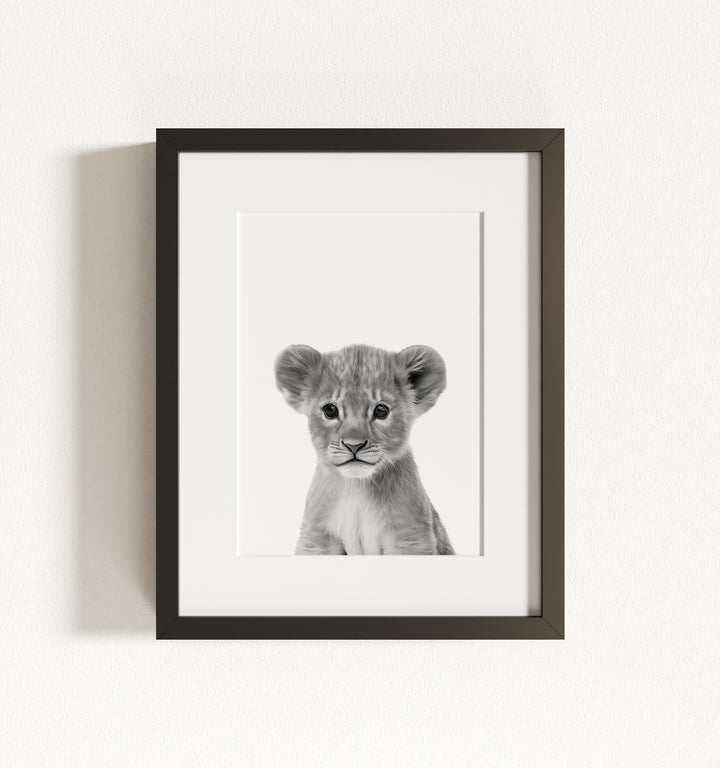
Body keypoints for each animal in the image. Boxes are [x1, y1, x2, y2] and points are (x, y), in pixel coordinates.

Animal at [274, 344, 455, 555]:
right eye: (330, 410)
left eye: (381, 411)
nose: (354, 445)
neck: (357, 488)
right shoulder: (317, 538)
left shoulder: (411, 536)